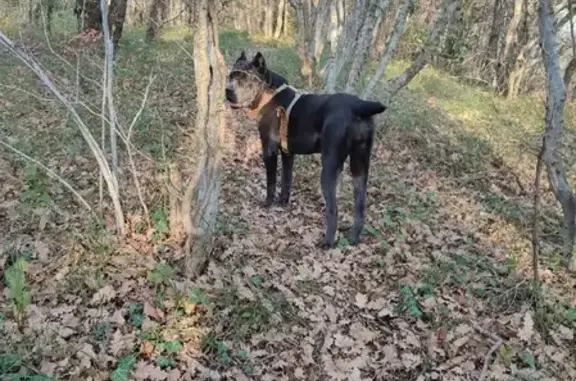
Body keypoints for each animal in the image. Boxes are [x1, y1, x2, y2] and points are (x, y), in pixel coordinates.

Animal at [225, 52, 388, 248]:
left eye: (247, 79)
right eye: (230, 76)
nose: (228, 91)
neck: (269, 94)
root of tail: (359, 106)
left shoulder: (269, 150)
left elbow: (271, 182)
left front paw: (268, 203)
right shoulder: (287, 153)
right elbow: (286, 179)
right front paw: (283, 202)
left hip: (330, 165)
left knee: (333, 209)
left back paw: (327, 242)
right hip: (360, 165)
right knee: (361, 206)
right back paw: (353, 238)